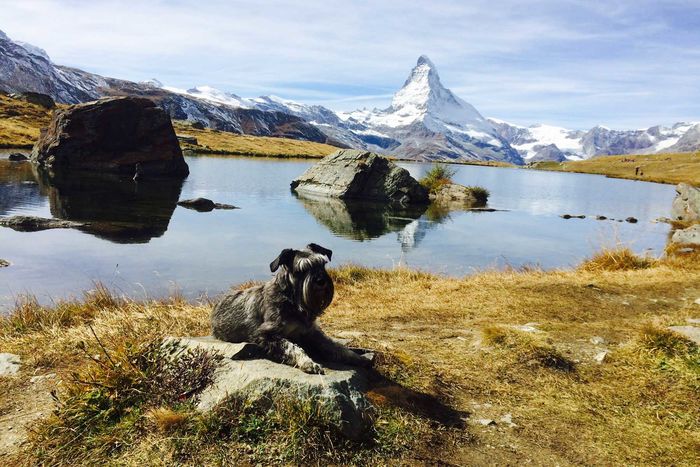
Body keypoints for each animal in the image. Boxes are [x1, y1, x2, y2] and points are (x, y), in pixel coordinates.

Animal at [211, 243, 374, 374]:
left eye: (322, 264)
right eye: (301, 269)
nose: (321, 281)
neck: (294, 302)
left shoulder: (311, 332)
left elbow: (336, 347)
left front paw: (358, 358)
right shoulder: (266, 334)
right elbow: (292, 347)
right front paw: (308, 363)